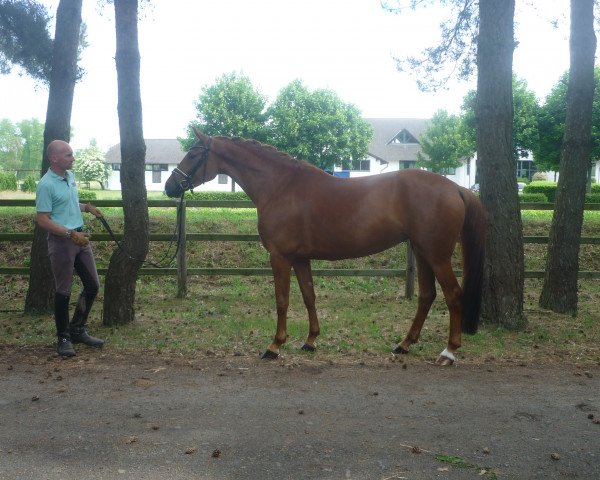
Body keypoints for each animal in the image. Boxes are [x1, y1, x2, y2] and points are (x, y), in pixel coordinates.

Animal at [166, 129, 486, 366]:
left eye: (193, 153)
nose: (170, 187)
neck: (281, 186)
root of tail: (456, 187)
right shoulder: (300, 258)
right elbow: (309, 296)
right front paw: (310, 341)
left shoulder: (279, 257)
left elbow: (282, 300)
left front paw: (274, 346)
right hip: (421, 252)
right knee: (427, 296)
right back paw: (404, 344)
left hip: (437, 255)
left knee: (453, 295)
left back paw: (448, 352)